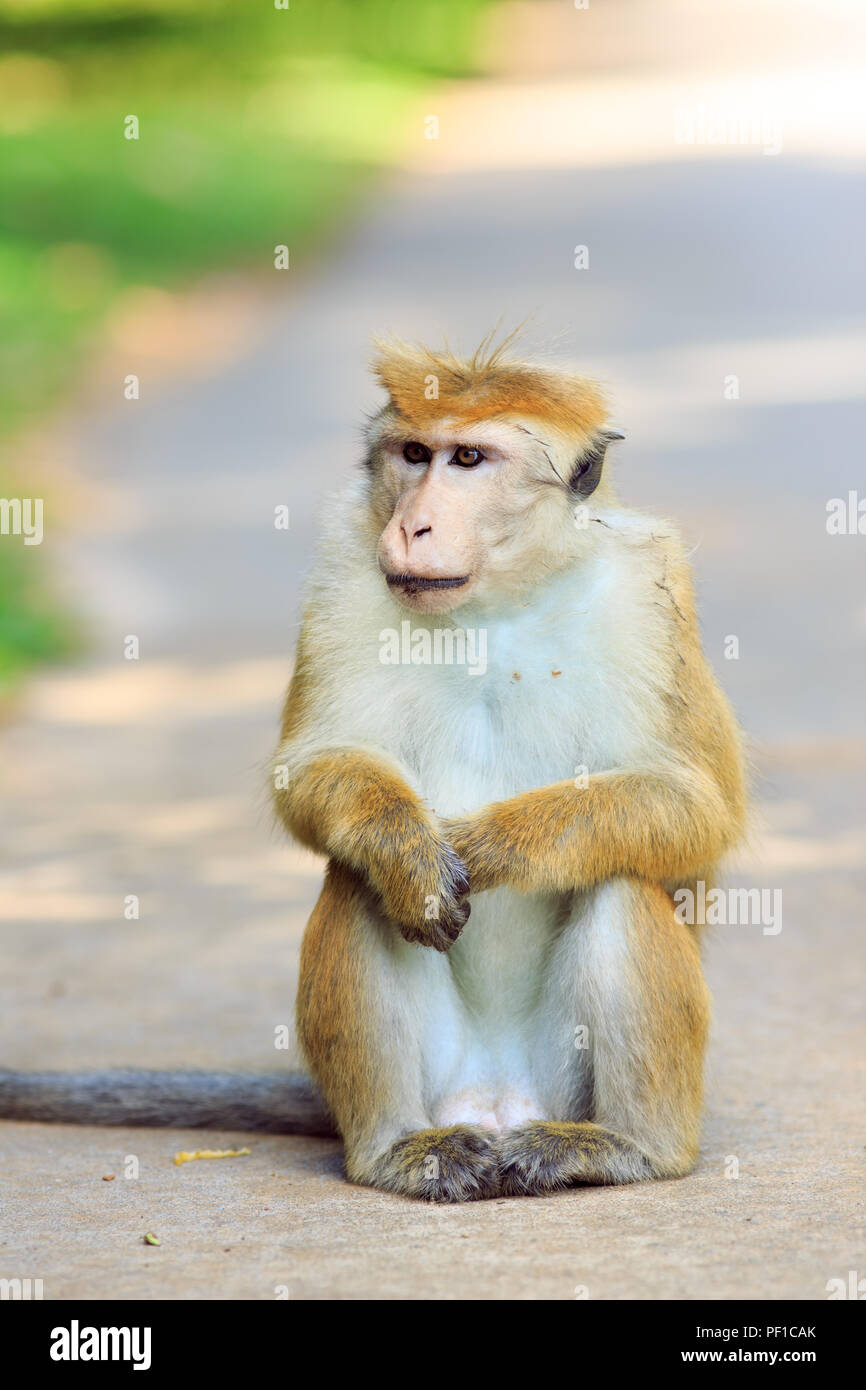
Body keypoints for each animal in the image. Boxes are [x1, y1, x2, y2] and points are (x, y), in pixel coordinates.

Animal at [0, 336, 745, 1206]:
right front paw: (412, 856)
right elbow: (313, 770)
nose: (412, 524)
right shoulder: (344, 569)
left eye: (468, 458)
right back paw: (398, 1145)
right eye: (414, 454)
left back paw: (629, 1146)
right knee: (356, 880)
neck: (492, 606)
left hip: (562, 1077)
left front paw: (495, 845)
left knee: (619, 876)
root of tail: (497, 1099)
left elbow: (699, 807)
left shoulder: (652, 594)